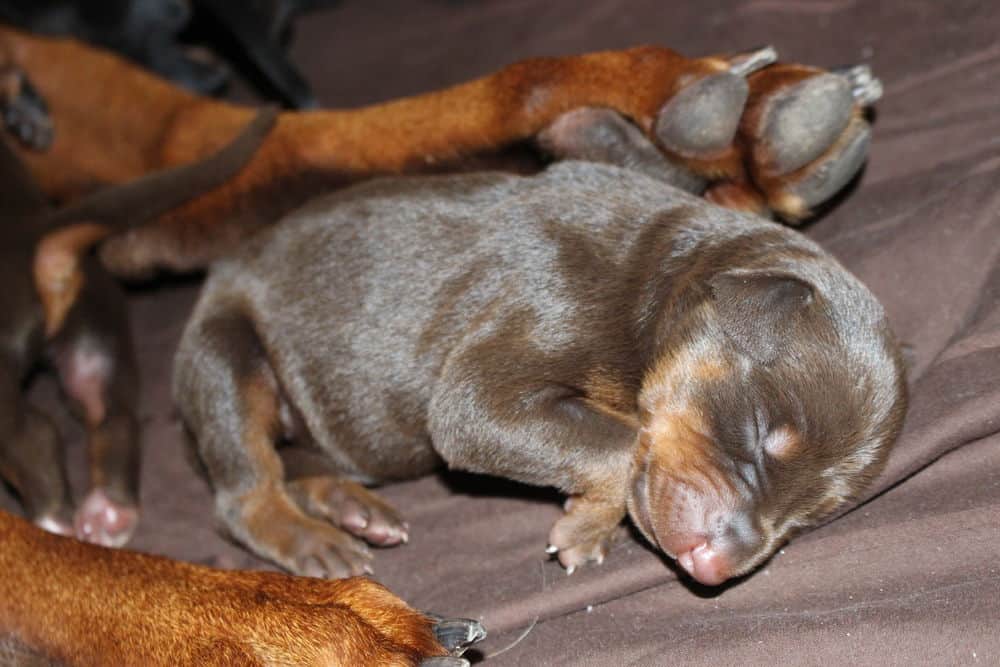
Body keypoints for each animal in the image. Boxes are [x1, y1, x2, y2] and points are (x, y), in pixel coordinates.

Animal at [176, 129, 912, 584]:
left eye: (809, 516)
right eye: (760, 432)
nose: (719, 563)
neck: (659, 271)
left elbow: (621, 440)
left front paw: (591, 521)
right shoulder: (489, 379)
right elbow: (621, 441)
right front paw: (587, 523)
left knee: (299, 460)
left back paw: (355, 506)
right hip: (224, 350)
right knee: (244, 489)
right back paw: (314, 540)